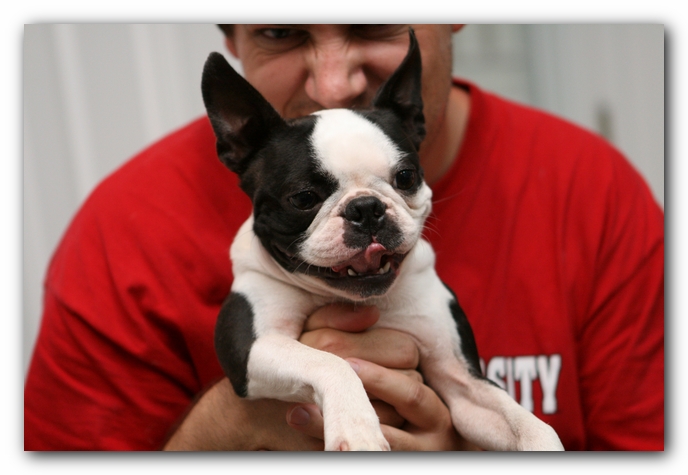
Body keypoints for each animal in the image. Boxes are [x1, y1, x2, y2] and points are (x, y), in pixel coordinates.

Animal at [200, 30, 564, 454]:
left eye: (405, 177)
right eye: (303, 198)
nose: (366, 208)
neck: (357, 299)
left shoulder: (464, 380)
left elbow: (525, 420)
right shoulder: (250, 350)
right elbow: (330, 361)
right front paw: (357, 430)